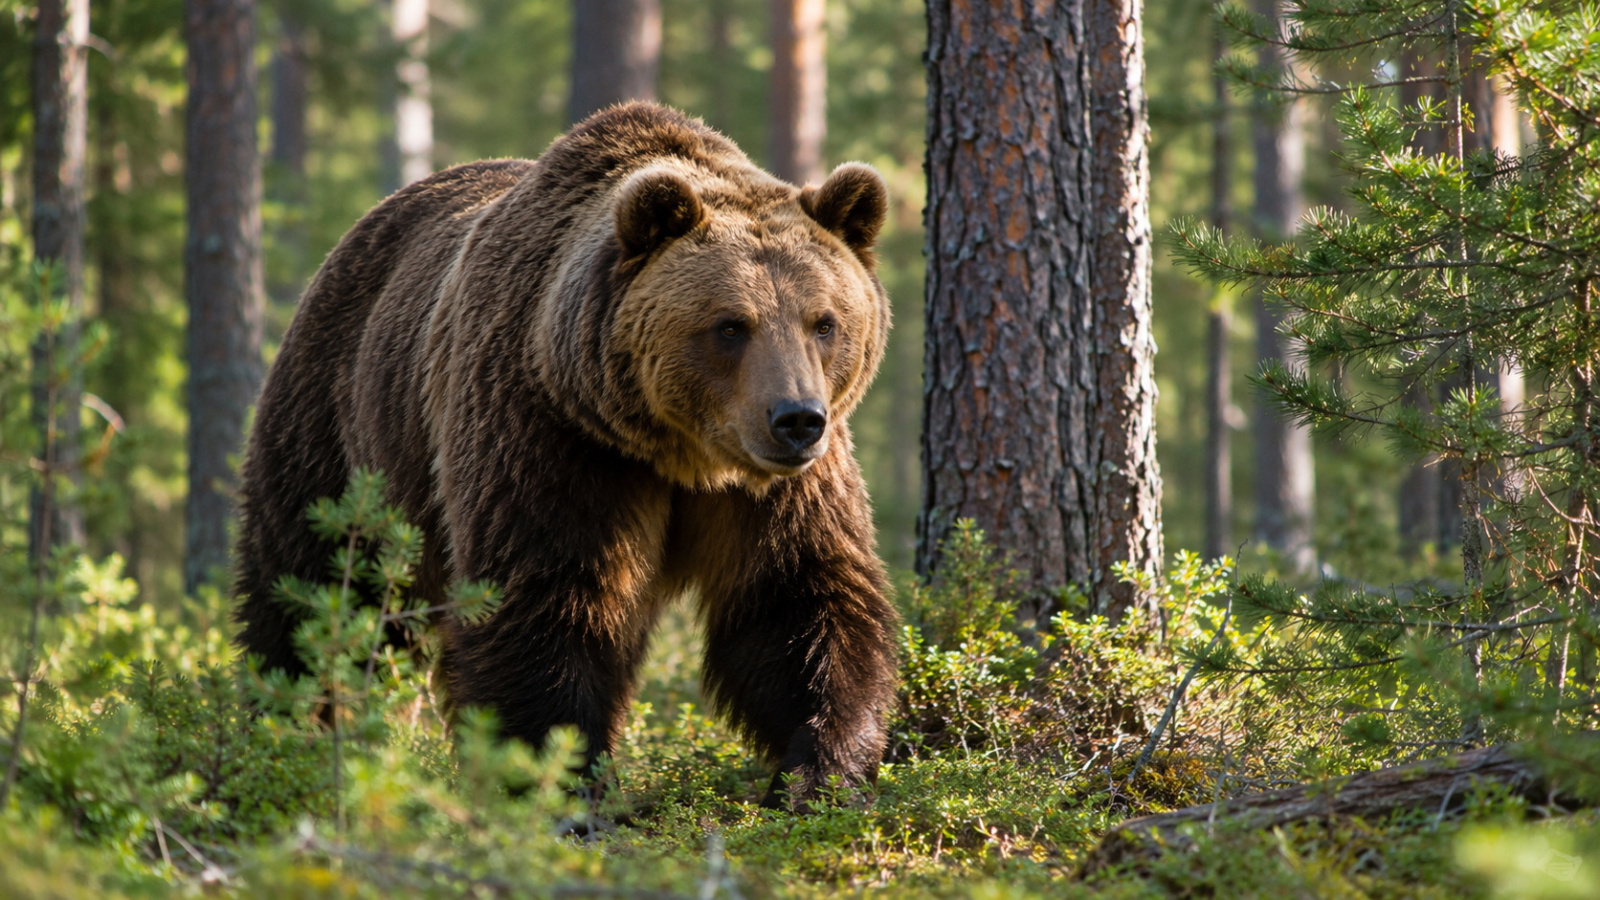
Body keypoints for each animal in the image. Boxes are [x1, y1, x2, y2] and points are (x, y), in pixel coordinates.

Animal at [232, 102, 898, 808]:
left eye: (823, 322)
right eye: (730, 325)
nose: (796, 420)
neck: (680, 452)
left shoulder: (776, 491)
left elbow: (796, 601)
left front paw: (820, 776)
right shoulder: (551, 437)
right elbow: (546, 597)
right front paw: (565, 786)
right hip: (343, 431)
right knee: (311, 584)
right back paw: (285, 729)